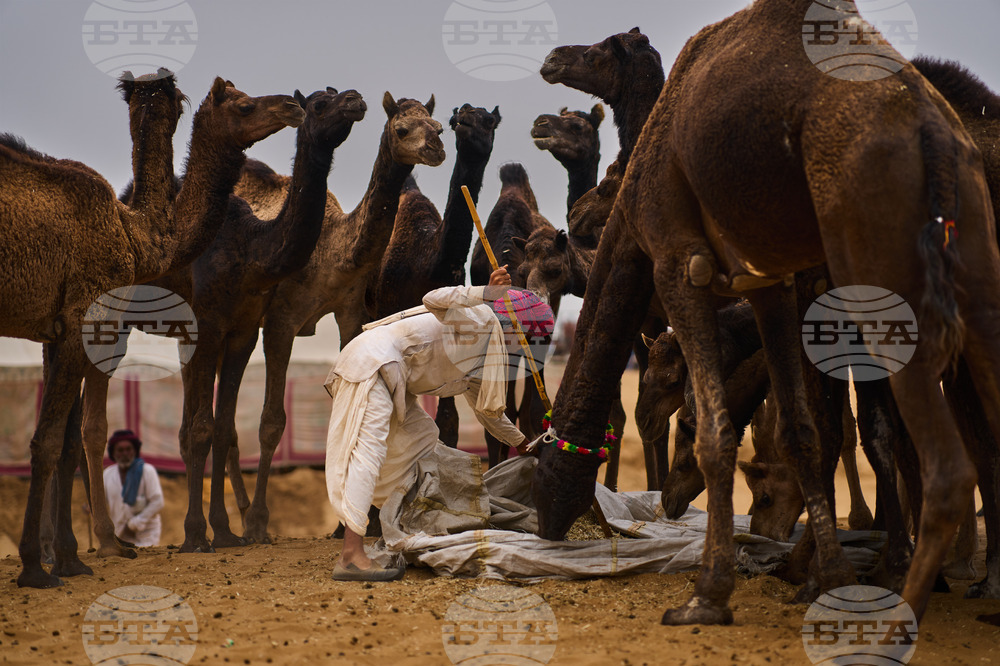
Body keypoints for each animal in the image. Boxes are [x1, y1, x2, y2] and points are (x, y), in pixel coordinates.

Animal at [0, 70, 188, 588]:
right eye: (180, 102)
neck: (130, 229)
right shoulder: (85, 313)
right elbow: (47, 441)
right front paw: (36, 566)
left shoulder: (54, 329)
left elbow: (65, 442)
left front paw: (68, 557)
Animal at [233, 93, 445, 543]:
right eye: (403, 128)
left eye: (438, 126)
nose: (436, 149)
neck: (333, 252)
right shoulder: (281, 321)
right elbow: (271, 421)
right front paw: (260, 523)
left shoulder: (349, 312)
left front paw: (346, 524)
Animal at [533, 0, 1000, 627]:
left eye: (541, 464)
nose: (547, 523)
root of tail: (933, 131)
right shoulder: (770, 282)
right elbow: (804, 431)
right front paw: (827, 573)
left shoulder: (682, 262)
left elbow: (722, 433)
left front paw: (710, 595)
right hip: (973, 262)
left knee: (948, 458)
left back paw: (907, 607)